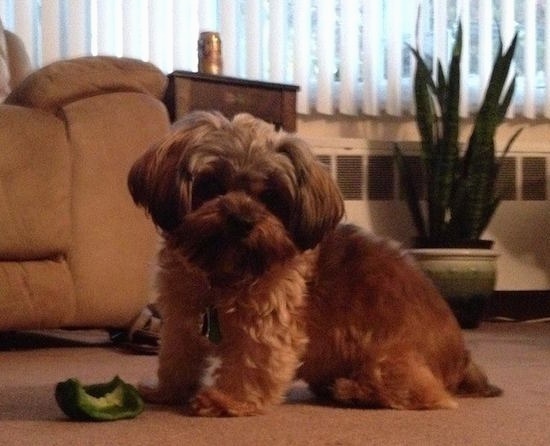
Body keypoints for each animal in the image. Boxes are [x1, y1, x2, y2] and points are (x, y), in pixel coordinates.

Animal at [128, 110, 500, 416]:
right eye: (211, 185)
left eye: (272, 197)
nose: (242, 219)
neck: (220, 273)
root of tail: (462, 360)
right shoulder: (181, 320)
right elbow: (177, 358)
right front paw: (166, 393)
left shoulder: (267, 323)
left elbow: (251, 363)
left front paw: (228, 400)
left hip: (388, 357)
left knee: (423, 394)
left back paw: (353, 390)